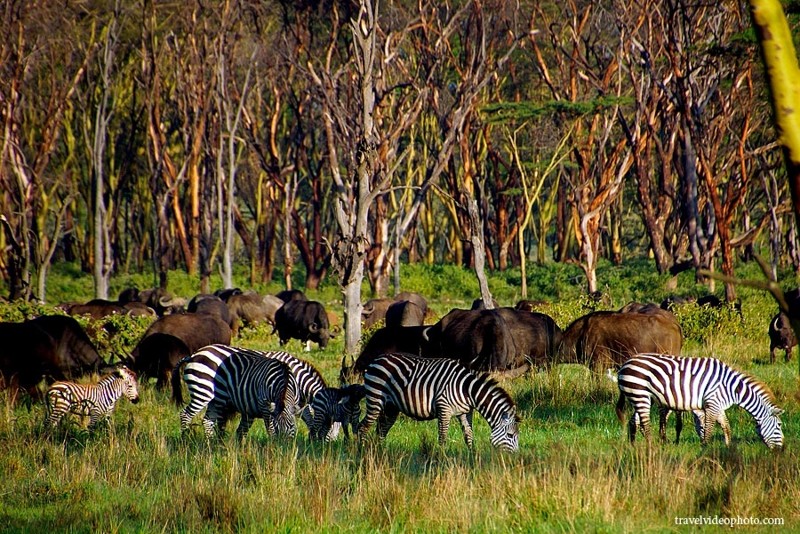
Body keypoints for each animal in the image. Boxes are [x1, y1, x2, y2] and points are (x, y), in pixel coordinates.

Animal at [356, 356, 520, 452]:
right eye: (510, 435)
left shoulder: (465, 412)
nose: (516, 459)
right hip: (375, 398)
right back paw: (361, 452)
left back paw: (380, 453)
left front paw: (471, 456)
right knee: (363, 427)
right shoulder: (444, 408)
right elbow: (443, 436)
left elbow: (468, 434)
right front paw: (442, 459)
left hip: (391, 407)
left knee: (381, 430)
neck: (467, 390)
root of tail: (376, 360)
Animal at [616, 356, 784, 452]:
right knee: (645, 424)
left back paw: (632, 447)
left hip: (640, 397)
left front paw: (728, 448)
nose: (782, 449)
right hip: (640, 394)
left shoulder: (718, 405)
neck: (732, 388)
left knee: (633, 421)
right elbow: (709, 429)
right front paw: (705, 449)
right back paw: (651, 448)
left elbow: (726, 426)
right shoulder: (712, 403)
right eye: (779, 425)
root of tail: (625, 364)